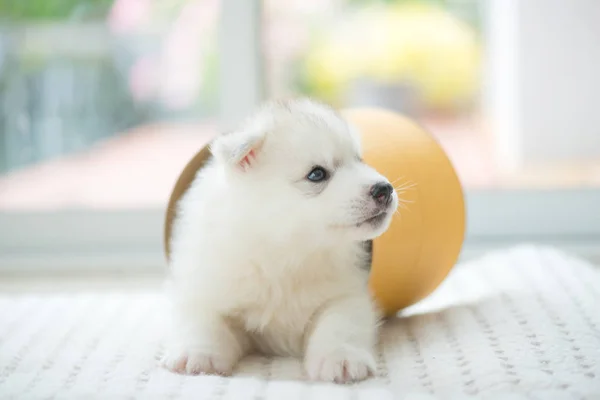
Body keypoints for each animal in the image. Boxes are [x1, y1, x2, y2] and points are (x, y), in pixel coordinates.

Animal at [163, 98, 398, 382]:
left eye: (359, 160)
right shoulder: (203, 287)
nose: (384, 189)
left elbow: (339, 323)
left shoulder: (346, 294)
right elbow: (203, 319)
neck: (286, 251)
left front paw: (341, 358)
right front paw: (198, 356)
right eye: (317, 174)